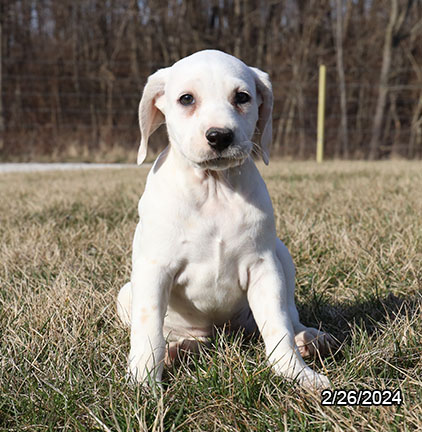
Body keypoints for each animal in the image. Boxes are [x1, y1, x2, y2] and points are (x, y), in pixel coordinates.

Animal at [117, 49, 334, 390]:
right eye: (187, 99)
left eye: (242, 97)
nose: (219, 136)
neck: (214, 189)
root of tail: (221, 333)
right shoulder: (154, 270)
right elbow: (148, 331)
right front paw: (143, 384)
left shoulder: (263, 268)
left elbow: (278, 328)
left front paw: (297, 373)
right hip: (127, 293)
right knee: (180, 338)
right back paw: (178, 351)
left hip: (282, 255)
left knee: (289, 317)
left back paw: (309, 339)